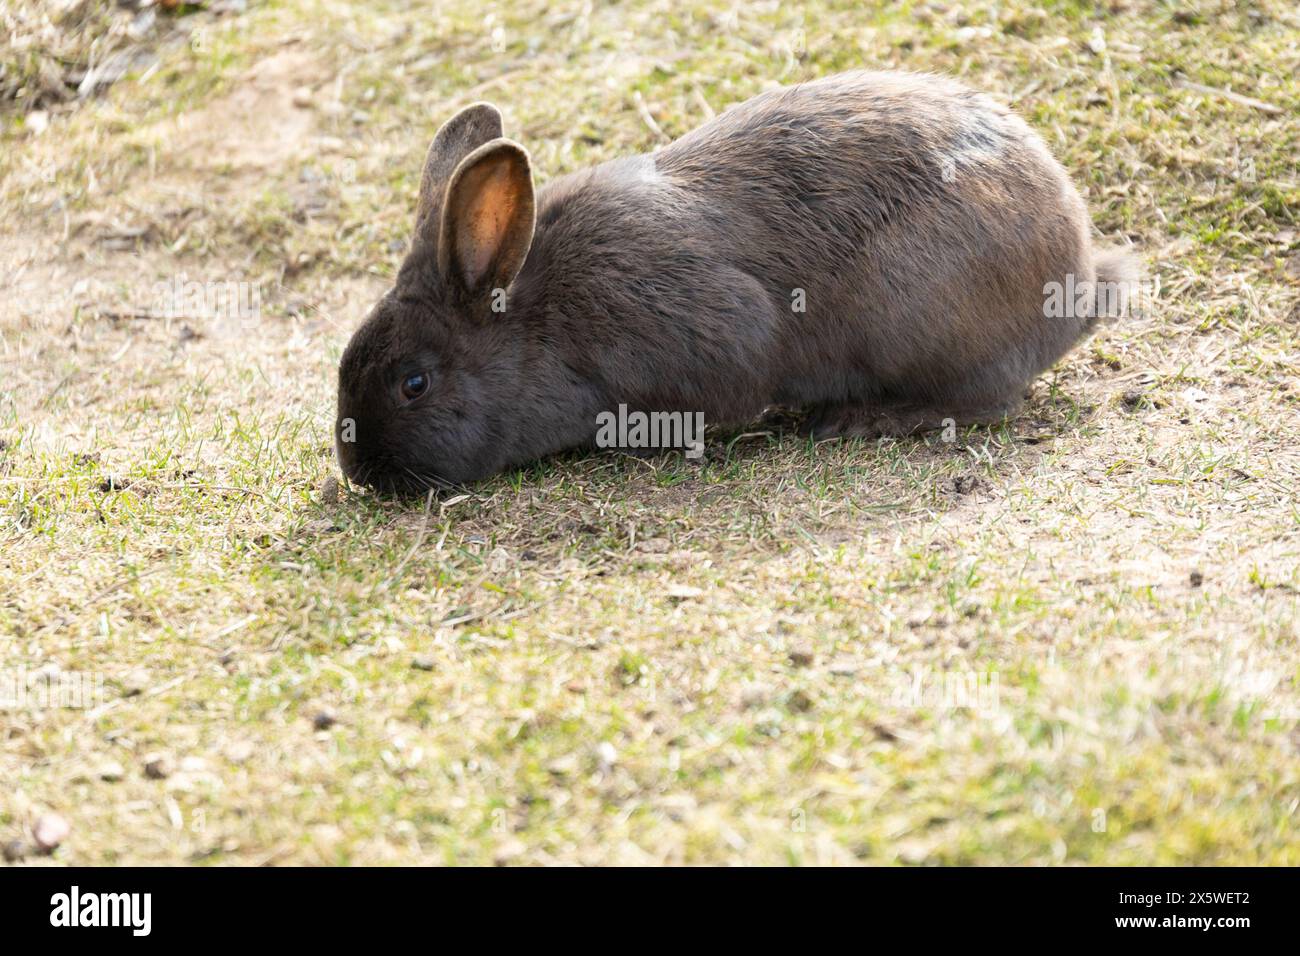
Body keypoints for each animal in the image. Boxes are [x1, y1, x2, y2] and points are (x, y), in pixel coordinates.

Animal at [338, 69, 1138, 494]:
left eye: (414, 384)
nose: (359, 470)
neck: (532, 326)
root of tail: (1077, 278)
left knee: (984, 401)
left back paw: (863, 419)